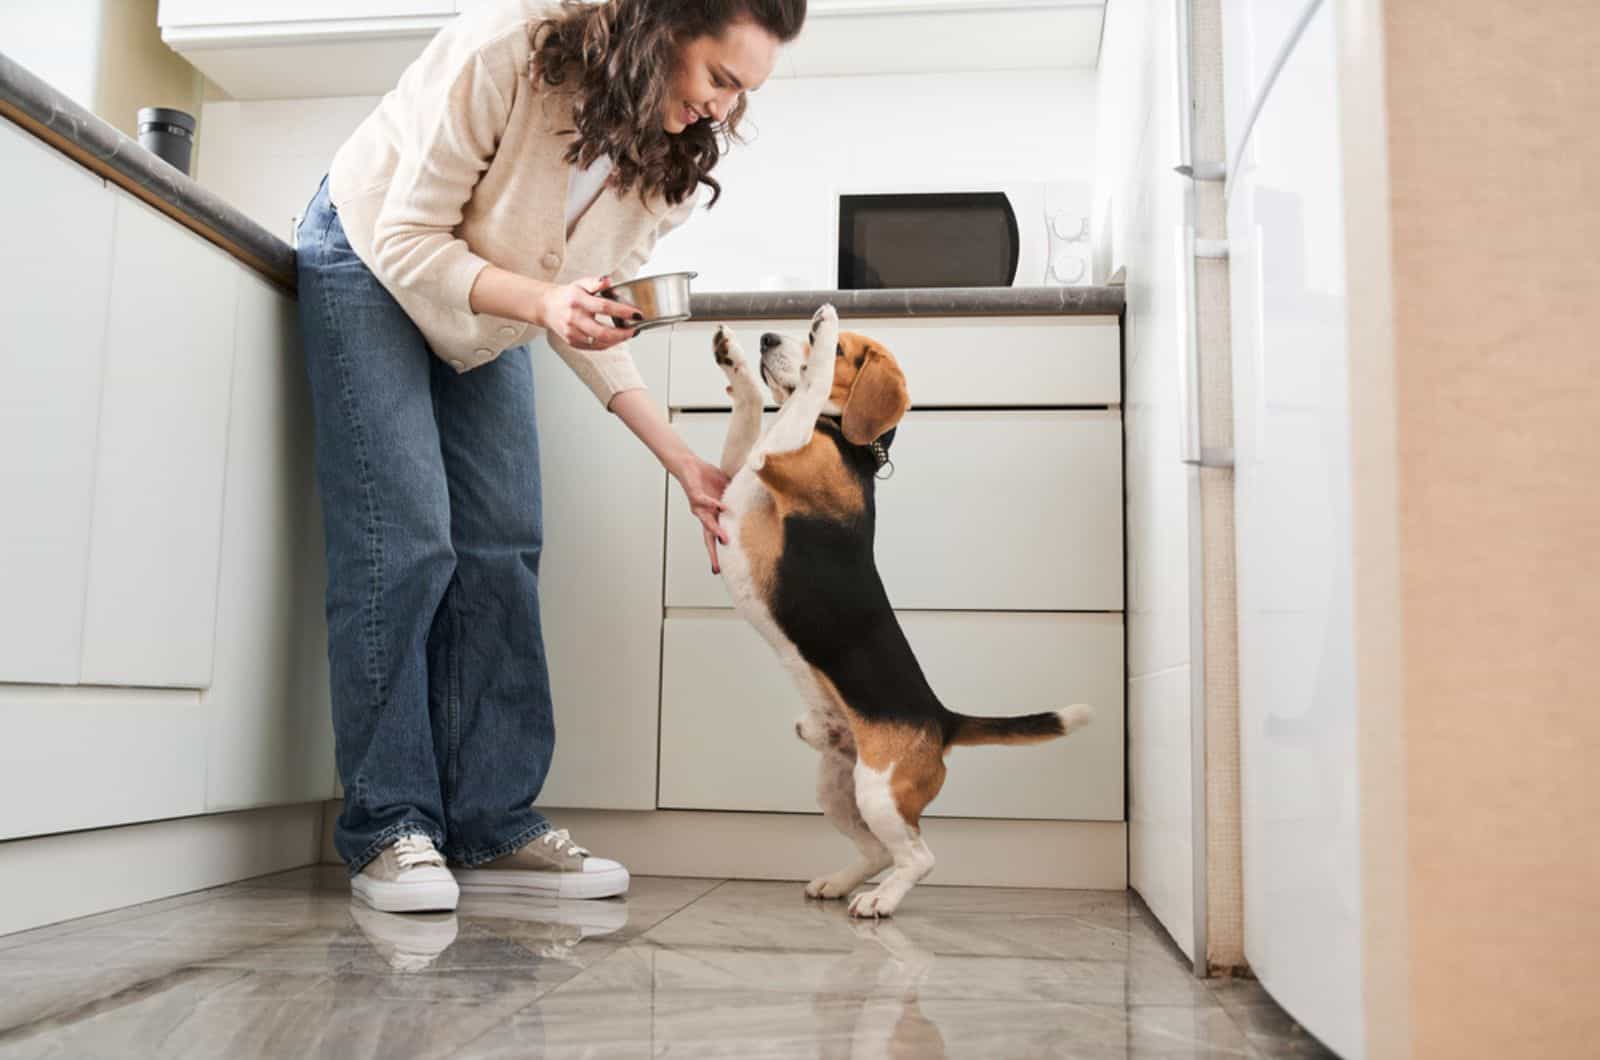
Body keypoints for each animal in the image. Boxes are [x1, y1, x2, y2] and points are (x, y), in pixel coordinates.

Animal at [710, 302, 1094, 915]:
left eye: (842, 349)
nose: (766, 336)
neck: (848, 444)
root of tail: (940, 718)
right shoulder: (736, 474)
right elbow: (749, 408)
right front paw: (733, 357)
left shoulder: (772, 457)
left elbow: (808, 390)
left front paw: (824, 329)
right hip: (838, 784)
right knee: (876, 852)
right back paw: (841, 883)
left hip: (879, 791)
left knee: (918, 856)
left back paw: (880, 902)